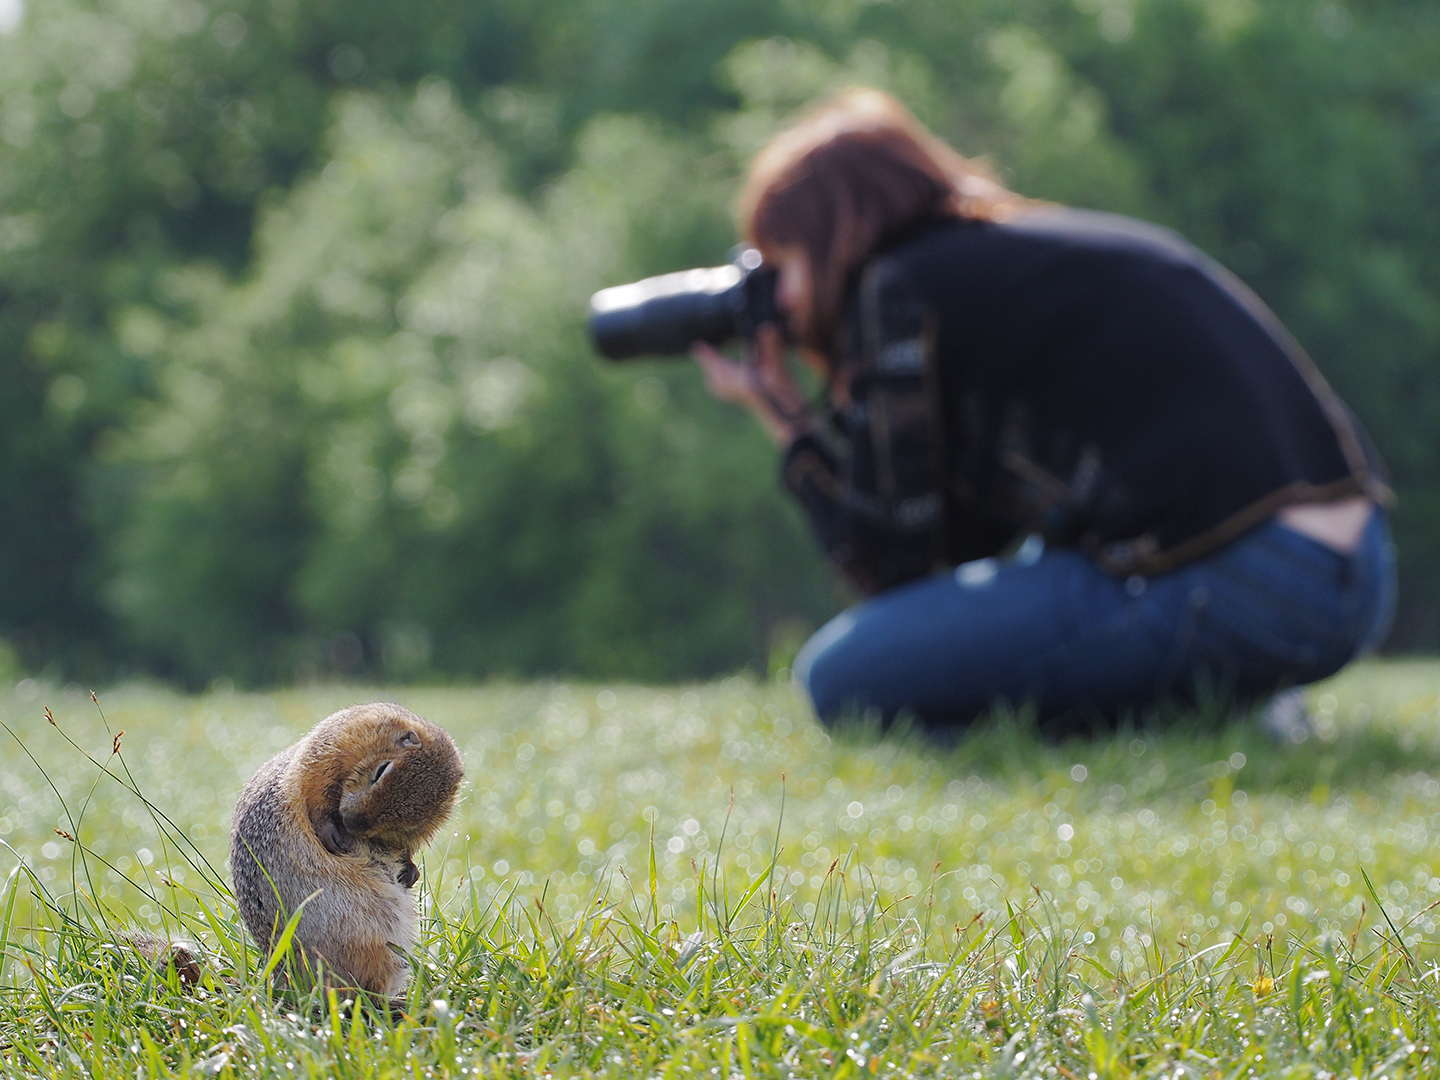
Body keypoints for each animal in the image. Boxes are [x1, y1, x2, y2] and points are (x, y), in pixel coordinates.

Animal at [228, 705, 460, 1002]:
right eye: (381, 770)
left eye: (410, 822)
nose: (351, 823)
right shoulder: (331, 745)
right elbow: (313, 790)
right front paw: (330, 832)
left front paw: (410, 869)